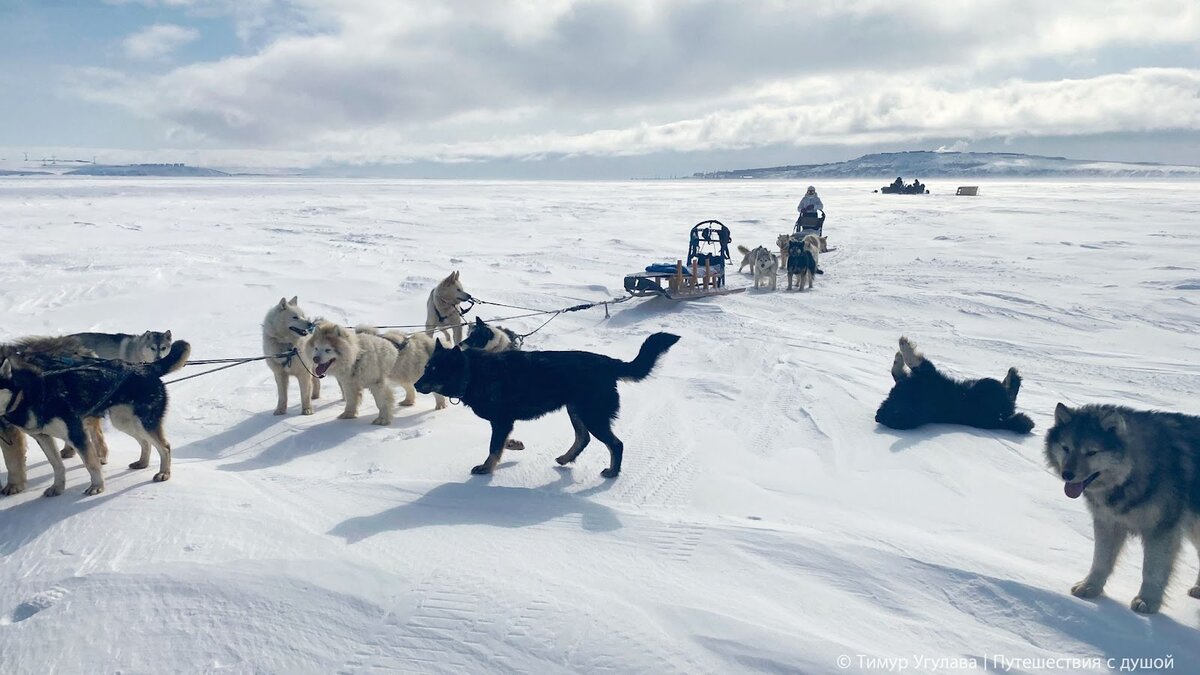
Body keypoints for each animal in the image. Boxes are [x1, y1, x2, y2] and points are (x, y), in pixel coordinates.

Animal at [309, 321, 446, 425]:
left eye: (328, 350)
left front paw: (382, 420)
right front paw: (348, 415)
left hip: (414, 374)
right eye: (316, 348)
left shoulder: (377, 384)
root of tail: (420, 340)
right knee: (409, 388)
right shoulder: (349, 385)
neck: (357, 357)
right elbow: (351, 401)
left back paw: (441, 405)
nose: (315, 358)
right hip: (399, 375)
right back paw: (408, 401)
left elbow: (382, 403)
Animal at [415, 331, 681, 473]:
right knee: (583, 438)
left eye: (435, 371)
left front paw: (486, 468)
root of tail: (609, 363)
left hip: (592, 414)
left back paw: (612, 473)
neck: (472, 372)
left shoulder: (501, 420)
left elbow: (493, 446)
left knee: (615, 444)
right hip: (576, 410)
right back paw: (565, 458)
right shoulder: (503, 421)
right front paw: (515, 445)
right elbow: (500, 442)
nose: (416, 385)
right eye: (426, 368)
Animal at [873, 333, 1032, 429]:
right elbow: (913, 363)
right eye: (895, 416)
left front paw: (899, 354)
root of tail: (1001, 421)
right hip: (986, 386)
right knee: (1011, 394)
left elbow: (898, 371)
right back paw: (1012, 375)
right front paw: (904, 346)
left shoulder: (918, 377)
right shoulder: (927, 375)